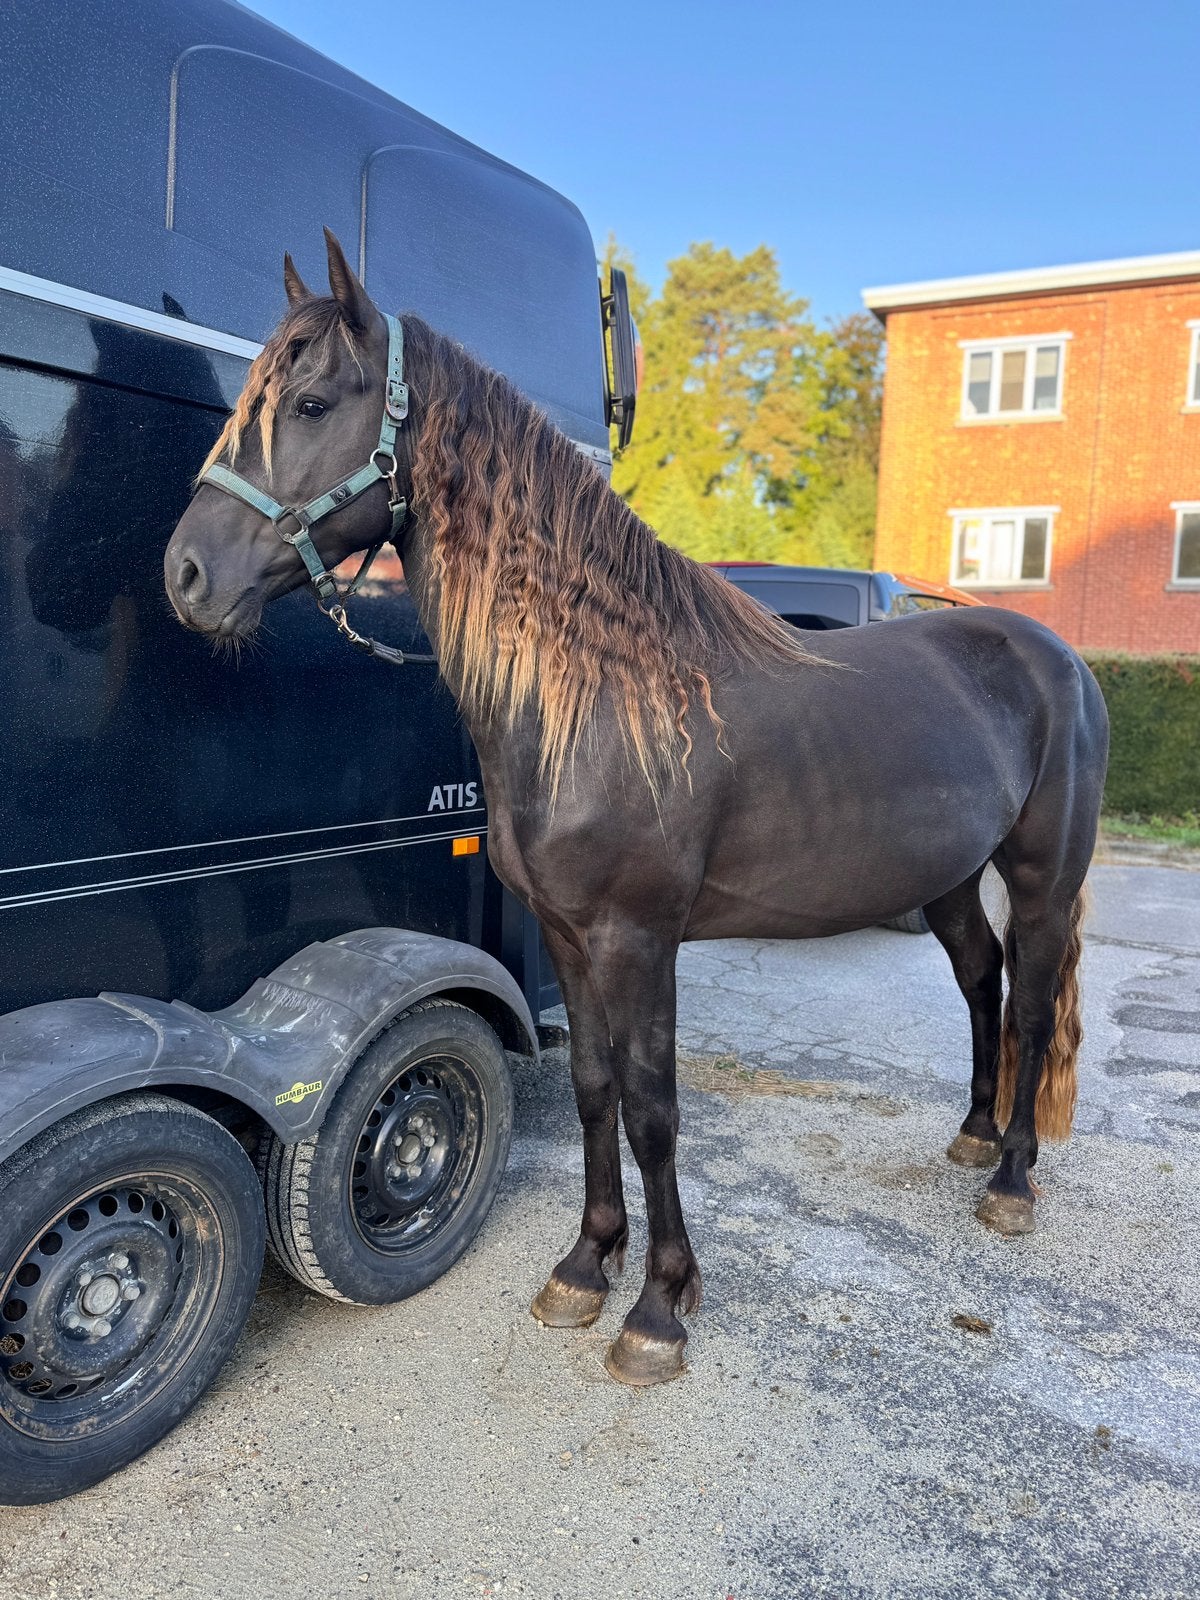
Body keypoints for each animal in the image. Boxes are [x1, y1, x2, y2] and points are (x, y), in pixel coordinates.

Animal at [164, 231, 1109, 1388]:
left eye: (308, 402)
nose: (186, 574)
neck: (604, 695)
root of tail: (1054, 655)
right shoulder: (572, 937)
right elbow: (592, 1089)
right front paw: (584, 1266)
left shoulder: (638, 938)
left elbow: (655, 1110)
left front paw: (658, 1310)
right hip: (945, 879)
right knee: (982, 982)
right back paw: (972, 1135)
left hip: (1043, 875)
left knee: (1030, 1006)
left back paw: (1011, 1181)